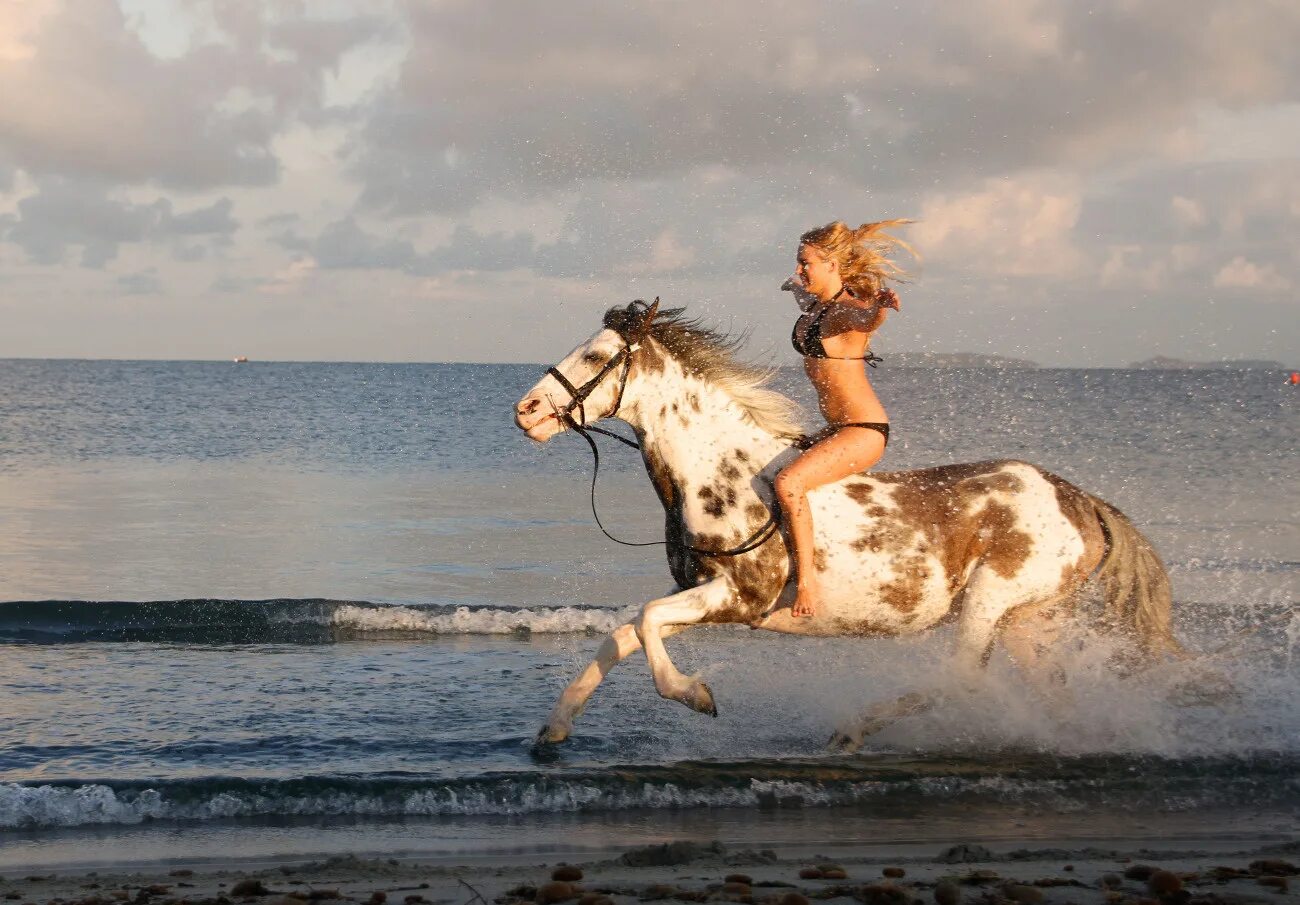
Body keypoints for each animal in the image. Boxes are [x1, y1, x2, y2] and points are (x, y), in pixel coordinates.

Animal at [512, 300, 1185, 743]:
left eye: (596, 354)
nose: (526, 410)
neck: (721, 471)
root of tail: (1081, 501)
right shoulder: (703, 594)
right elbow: (624, 635)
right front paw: (553, 731)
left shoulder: (740, 597)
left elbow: (646, 622)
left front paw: (697, 696)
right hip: (1028, 619)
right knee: (1048, 690)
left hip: (992, 599)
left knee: (963, 679)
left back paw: (852, 732)